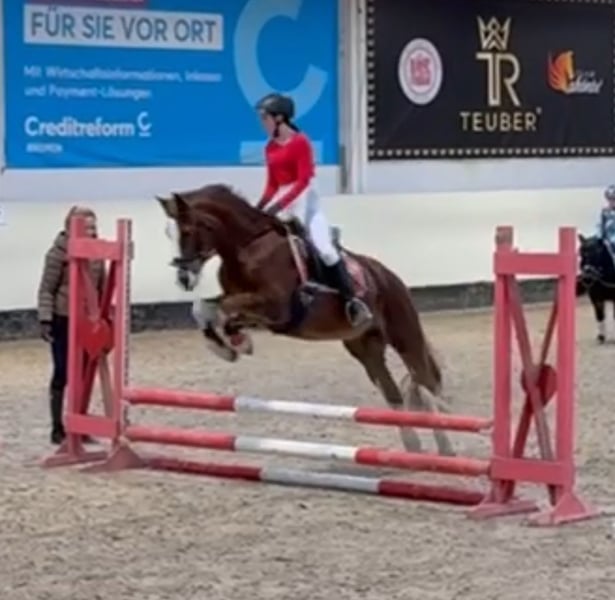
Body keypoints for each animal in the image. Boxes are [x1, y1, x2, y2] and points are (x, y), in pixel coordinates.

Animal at [156, 184, 454, 456]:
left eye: (187, 231)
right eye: (168, 234)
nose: (183, 278)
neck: (247, 246)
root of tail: (391, 277)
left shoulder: (276, 307)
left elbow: (223, 311)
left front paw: (235, 343)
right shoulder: (253, 308)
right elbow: (203, 308)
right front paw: (226, 345)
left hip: (405, 337)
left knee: (427, 386)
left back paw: (446, 448)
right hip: (365, 347)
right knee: (394, 393)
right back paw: (413, 447)